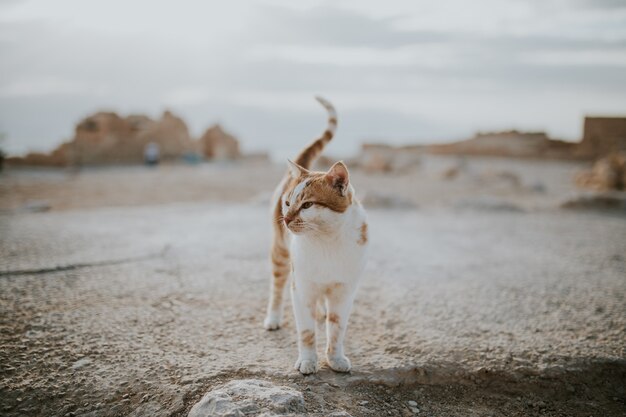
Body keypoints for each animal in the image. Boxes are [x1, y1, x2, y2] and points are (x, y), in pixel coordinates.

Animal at [262, 97, 368, 374]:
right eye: (288, 203)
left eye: (307, 205)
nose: (287, 219)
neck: (326, 242)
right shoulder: (301, 289)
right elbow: (307, 332)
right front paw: (308, 361)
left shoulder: (344, 292)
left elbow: (337, 329)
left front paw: (335, 359)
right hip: (280, 255)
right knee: (276, 288)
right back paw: (273, 318)